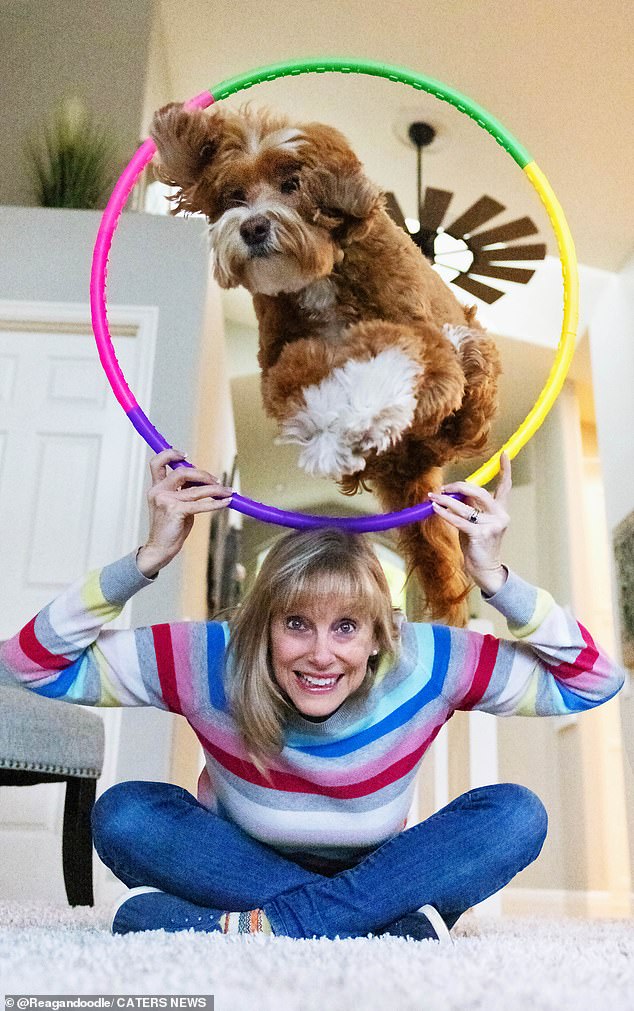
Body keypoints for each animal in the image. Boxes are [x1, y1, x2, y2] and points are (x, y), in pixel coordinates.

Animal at [149, 104, 501, 622]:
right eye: (234, 194)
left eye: (292, 183)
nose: (253, 227)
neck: (320, 277)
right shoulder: (278, 361)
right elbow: (298, 371)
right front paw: (336, 407)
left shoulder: (419, 335)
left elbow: (408, 354)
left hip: (475, 368)